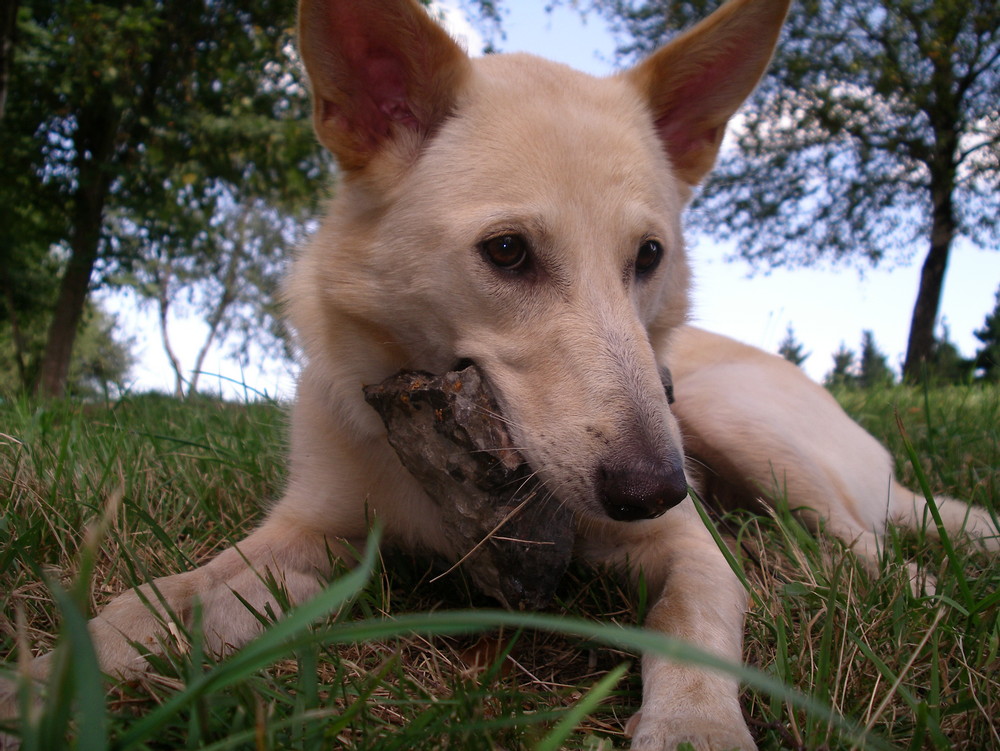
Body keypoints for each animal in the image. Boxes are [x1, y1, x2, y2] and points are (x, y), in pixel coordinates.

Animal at [3, 0, 996, 748]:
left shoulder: (687, 550)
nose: (653, 488)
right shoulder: (304, 540)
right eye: (508, 252)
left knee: (871, 548)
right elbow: (145, 606)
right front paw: (43, 686)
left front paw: (697, 727)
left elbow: (696, 632)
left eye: (648, 256)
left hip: (733, 421)